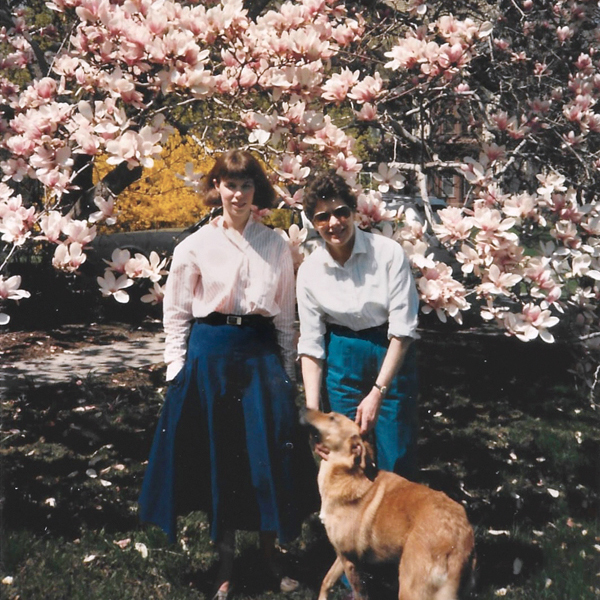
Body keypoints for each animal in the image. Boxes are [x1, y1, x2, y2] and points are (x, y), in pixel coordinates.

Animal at [302, 408, 476, 600]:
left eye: (332, 418)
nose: (303, 409)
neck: (345, 475)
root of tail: (460, 542)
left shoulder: (350, 560)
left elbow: (359, 593)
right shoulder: (342, 555)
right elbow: (327, 581)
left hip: (410, 589)